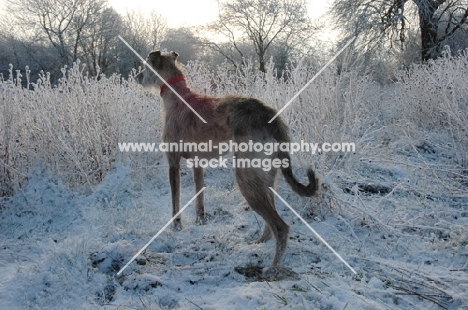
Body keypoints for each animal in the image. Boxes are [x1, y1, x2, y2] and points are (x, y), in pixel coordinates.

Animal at [142, 50, 318, 276]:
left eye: (145, 67)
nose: (137, 77)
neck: (178, 95)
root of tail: (270, 115)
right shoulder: (198, 164)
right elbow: (199, 200)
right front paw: (200, 223)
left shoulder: (173, 162)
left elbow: (176, 201)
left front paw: (177, 227)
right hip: (265, 177)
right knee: (271, 222)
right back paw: (259, 242)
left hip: (246, 178)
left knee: (281, 227)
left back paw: (273, 267)